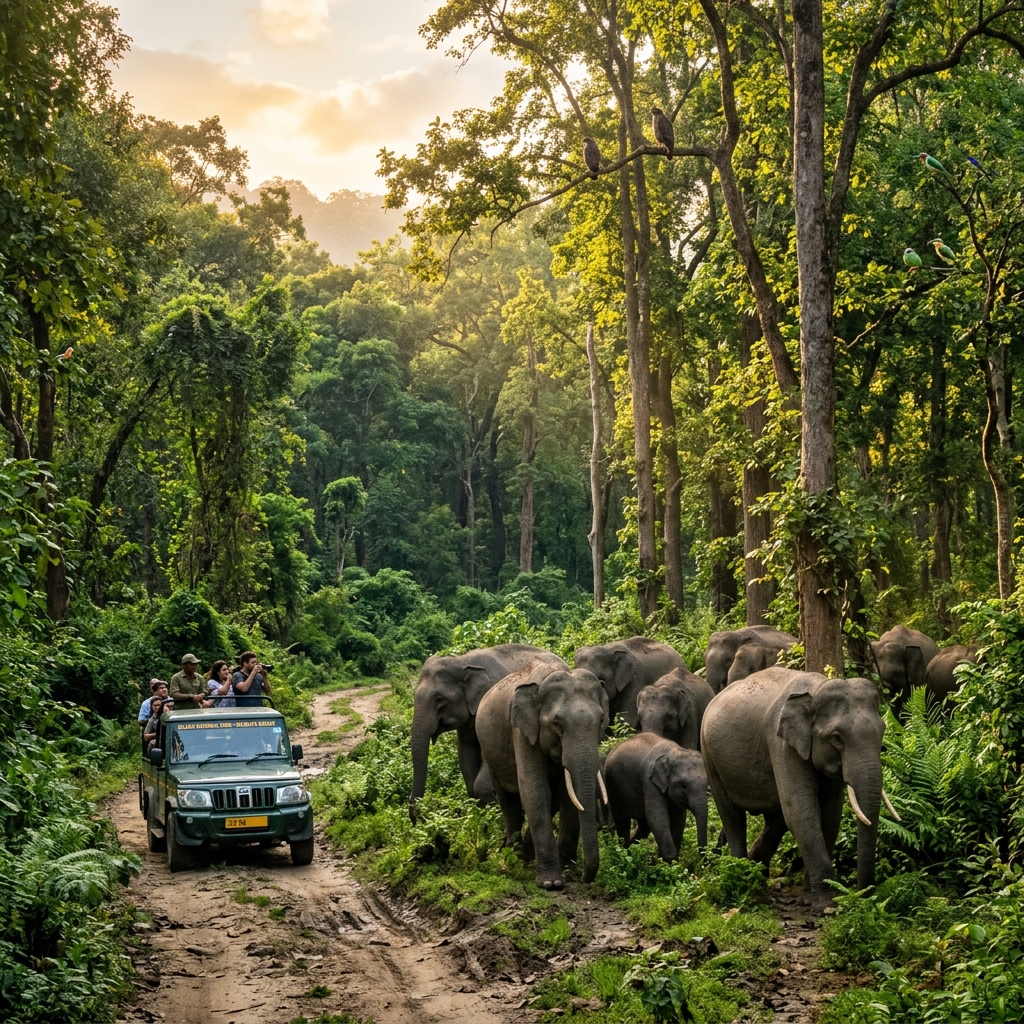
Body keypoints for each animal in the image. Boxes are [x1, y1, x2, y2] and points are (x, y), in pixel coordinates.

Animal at [476, 662, 609, 890]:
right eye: (557, 724)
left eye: (601, 720)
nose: (583, 878)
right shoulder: (522, 731)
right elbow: (534, 788)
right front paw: (551, 883)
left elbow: (567, 794)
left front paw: (566, 866)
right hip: (489, 752)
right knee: (508, 802)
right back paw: (514, 856)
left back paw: (527, 853)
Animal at [604, 732, 708, 861]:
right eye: (683, 786)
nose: (704, 859)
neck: (673, 751)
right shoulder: (648, 781)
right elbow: (657, 817)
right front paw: (669, 861)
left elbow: (679, 819)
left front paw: (669, 861)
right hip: (611, 788)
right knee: (622, 822)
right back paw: (624, 854)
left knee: (644, 826)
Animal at [701, 666, 898, 916]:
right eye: (837, 738)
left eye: (882, 731)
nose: (864, 898)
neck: (816, 689)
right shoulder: (782, 745)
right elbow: (801, 812)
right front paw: (827, 908)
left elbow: (830, 816)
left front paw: (808, 899)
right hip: (710, 757)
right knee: (733, 816)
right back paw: (743, 878)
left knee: (776, 822)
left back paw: (756, 871)